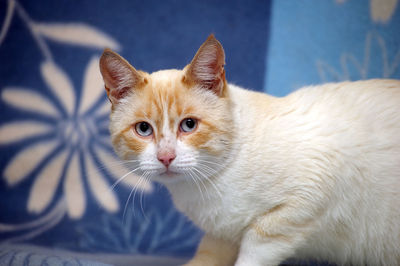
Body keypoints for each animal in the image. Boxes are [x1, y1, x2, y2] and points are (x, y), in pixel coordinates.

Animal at [99, 35, 400, 266]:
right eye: (143, 129)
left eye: (189, 125)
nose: (165, 157)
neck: (204, 187)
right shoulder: (221, 234)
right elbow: (207, 255)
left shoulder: (303, 200)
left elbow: (255, 249)